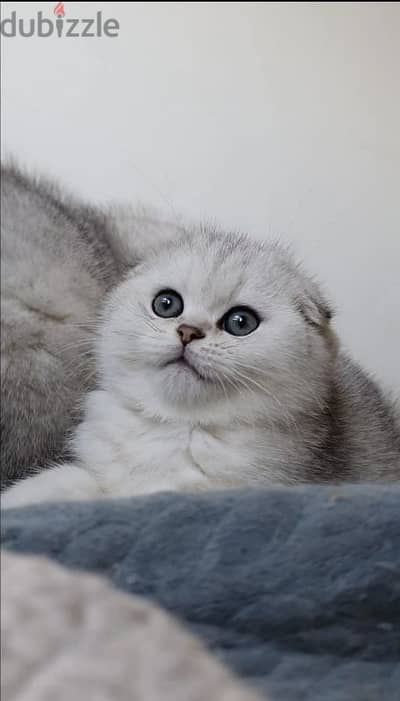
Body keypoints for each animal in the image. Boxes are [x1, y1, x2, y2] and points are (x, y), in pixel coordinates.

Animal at [1, 221, 398, 506]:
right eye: (166, 304)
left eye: (241, 322)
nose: (188, 331)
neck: (178, 427)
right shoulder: (99, 471)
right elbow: (66, 480)